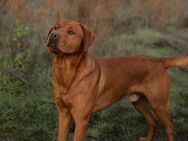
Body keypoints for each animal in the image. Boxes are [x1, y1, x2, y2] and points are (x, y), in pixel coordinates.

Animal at [46, 19, 188, 141]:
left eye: (71, 32)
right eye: (55, 28)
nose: (53, 35)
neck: (66, 71)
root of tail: (159, 60)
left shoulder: (81, 119)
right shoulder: (63, 114)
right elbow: (61, 137)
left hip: (159, 104)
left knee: (170, 128)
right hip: (139, 102)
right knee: (153, 121)